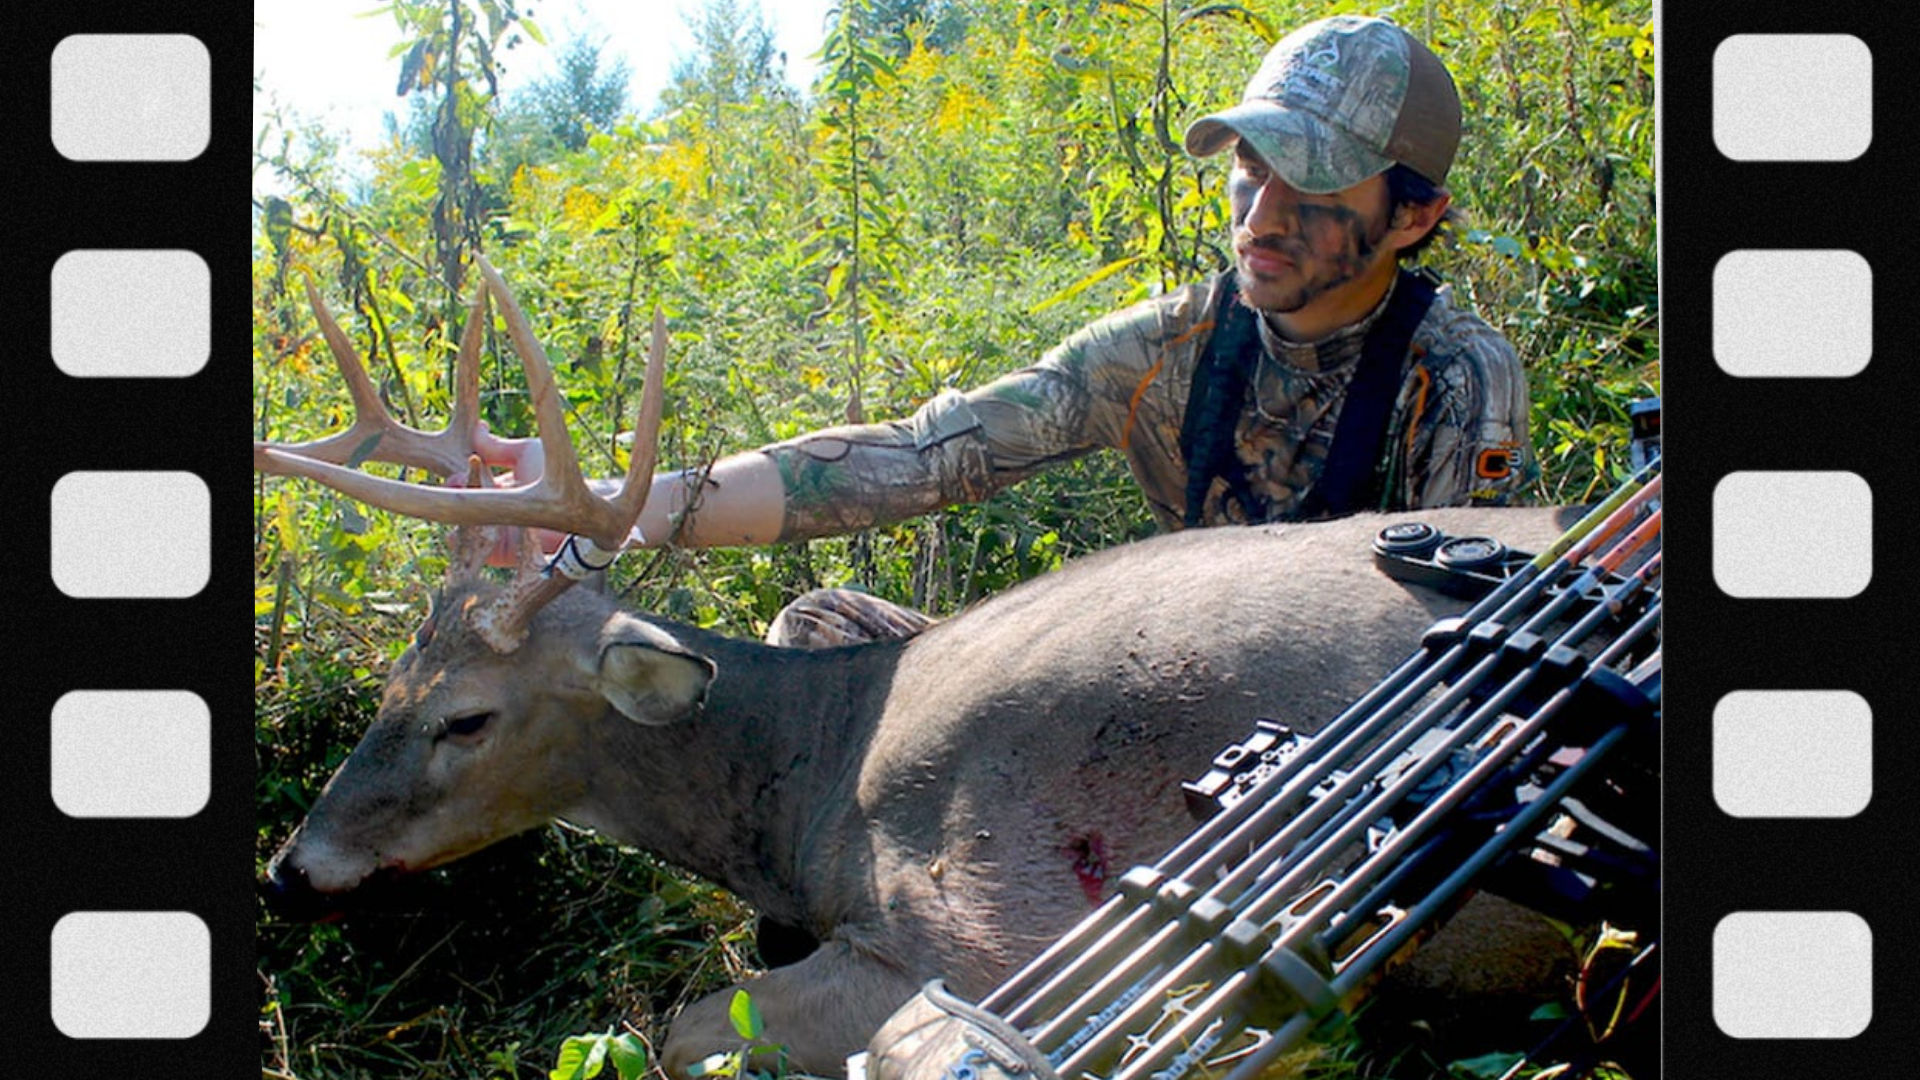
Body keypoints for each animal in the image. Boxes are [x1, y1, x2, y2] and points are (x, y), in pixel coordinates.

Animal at [257, 260, 1595, 1077]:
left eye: (467, 720)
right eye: (390, 687)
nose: (291, 872)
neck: (818, 785)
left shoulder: (995, 940)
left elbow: (685, 1024)